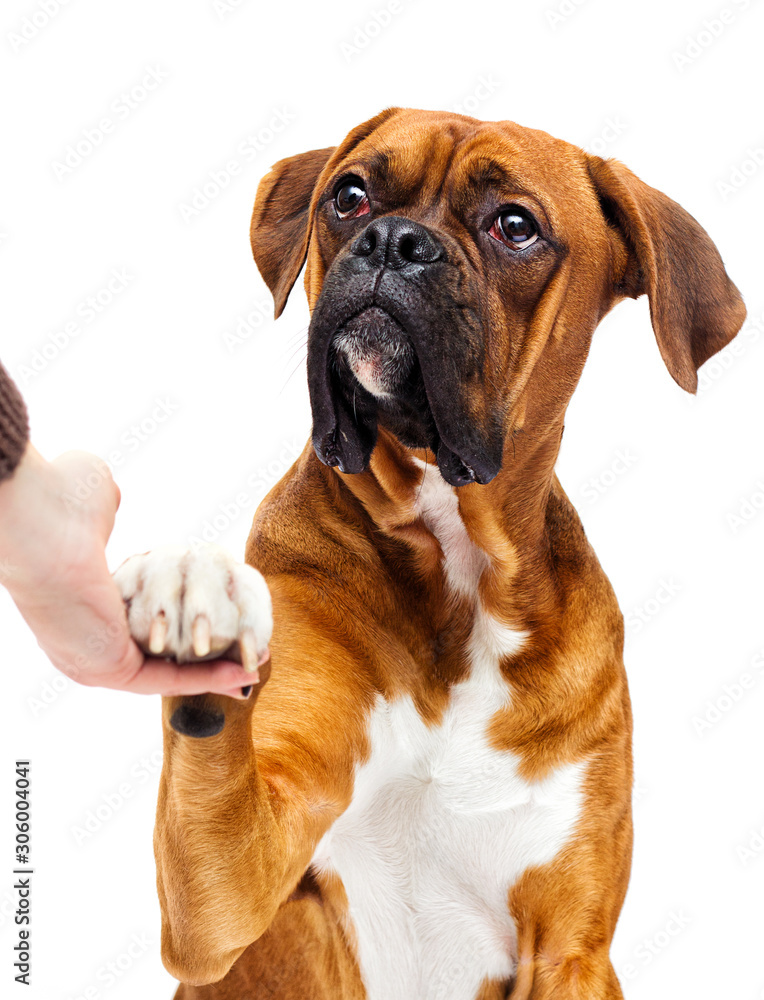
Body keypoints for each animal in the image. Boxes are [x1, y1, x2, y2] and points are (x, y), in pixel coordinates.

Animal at [113, 105, 748, 996]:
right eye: (348, 196)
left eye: (515, 226)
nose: (392, 240)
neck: (460, 559)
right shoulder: (234, 892)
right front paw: (192, 595)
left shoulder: (571, 948)